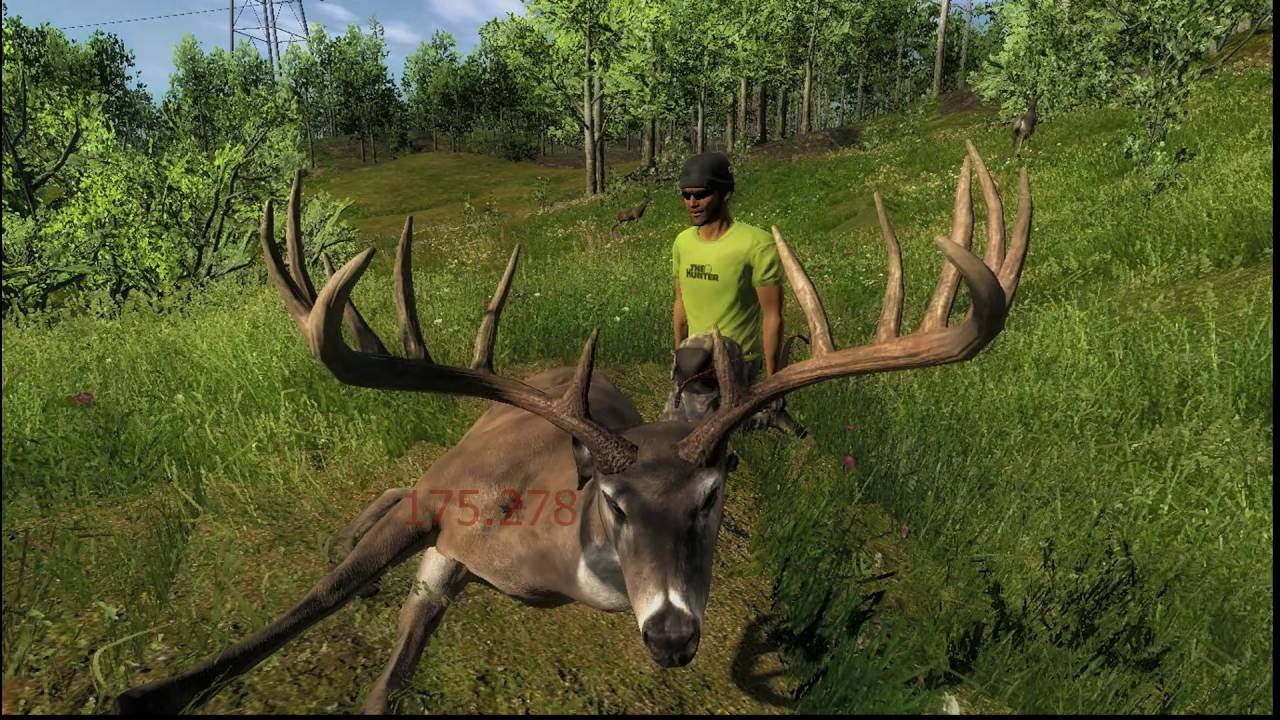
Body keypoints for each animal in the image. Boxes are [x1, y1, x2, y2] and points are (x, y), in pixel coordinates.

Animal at [114, 139, 1030, 715]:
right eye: (615, 502)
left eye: (713, 494)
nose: (671, 634)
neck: (542, 544)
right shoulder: (443, 503)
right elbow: (320, 598)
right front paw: (146, 692)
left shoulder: (449, 566)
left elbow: (391, 678)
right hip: (446, 463)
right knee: (389, 495)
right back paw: (344, 534)